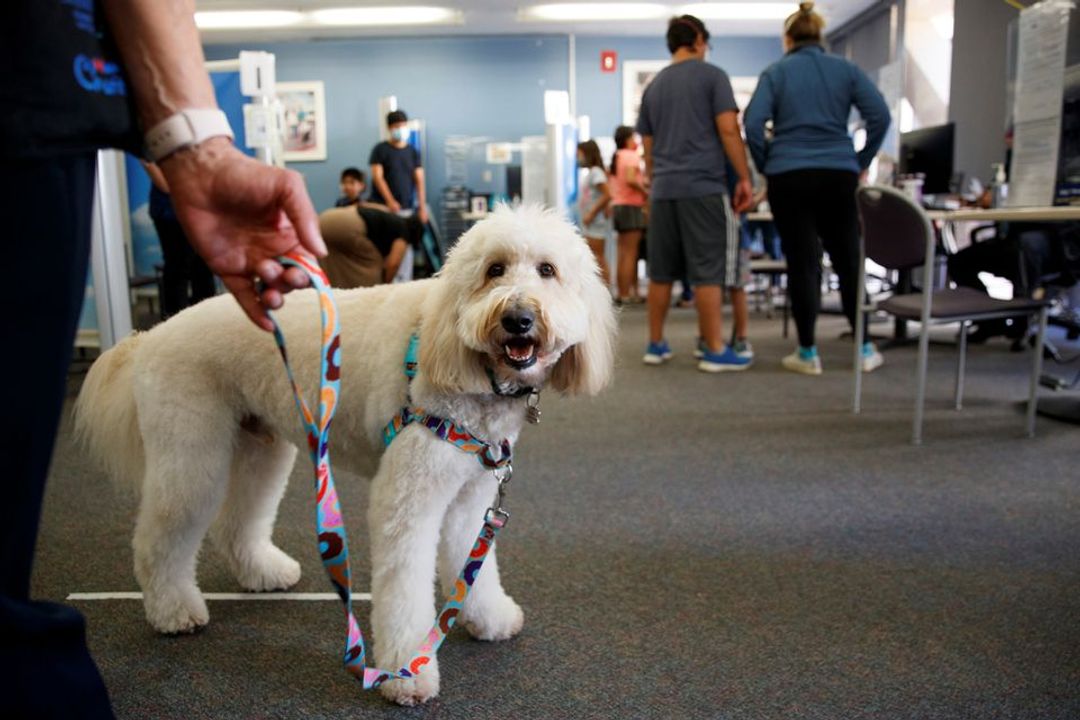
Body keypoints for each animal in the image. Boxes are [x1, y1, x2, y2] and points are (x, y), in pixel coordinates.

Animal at [76, 202, 617, 703]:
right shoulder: (407, 497)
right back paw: (173, 611)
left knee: (236, 524)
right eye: (494, 270)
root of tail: (150, 336)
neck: (465, 364)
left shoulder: (471, 495)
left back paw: (264, 573)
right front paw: (406, 673)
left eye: (547, 270)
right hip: (191, 453)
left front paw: (489, 617)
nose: (517, 318)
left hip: (261, 446)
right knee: (159, 540)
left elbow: (473, 564)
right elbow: (405, 590)